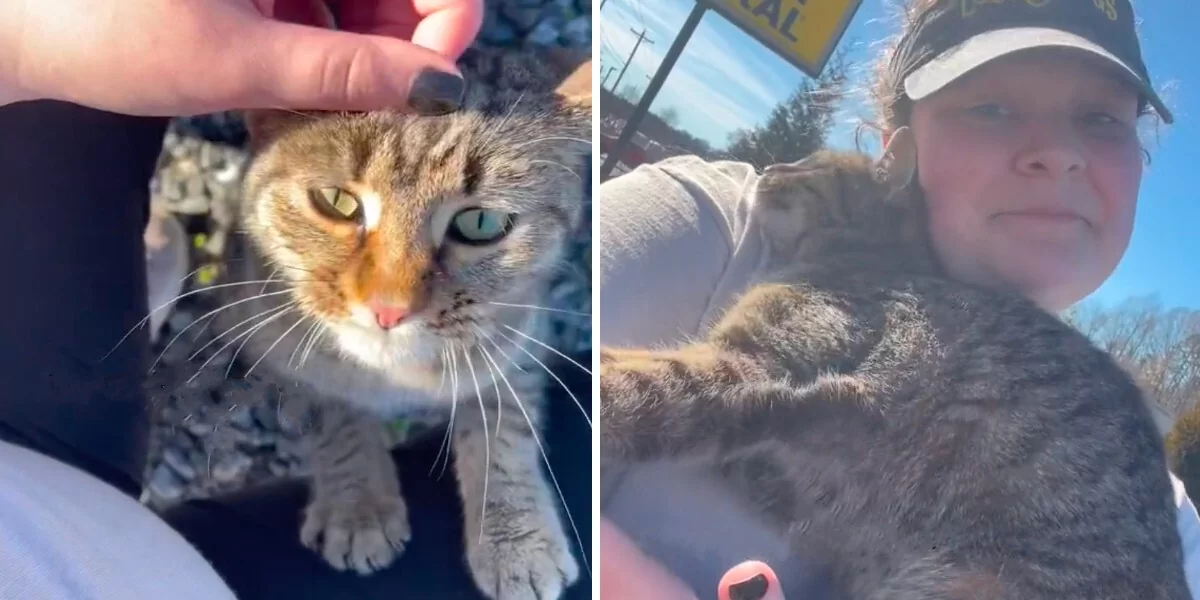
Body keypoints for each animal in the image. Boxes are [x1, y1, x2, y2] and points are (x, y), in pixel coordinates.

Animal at [212, 43, 595, 600]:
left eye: (480, 223)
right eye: (337, 202)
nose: (389, 307)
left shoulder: (522, 334)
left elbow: (505, 427)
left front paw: (516, 536)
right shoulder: (280, 348)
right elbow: (335, 414)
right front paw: (357, 506)